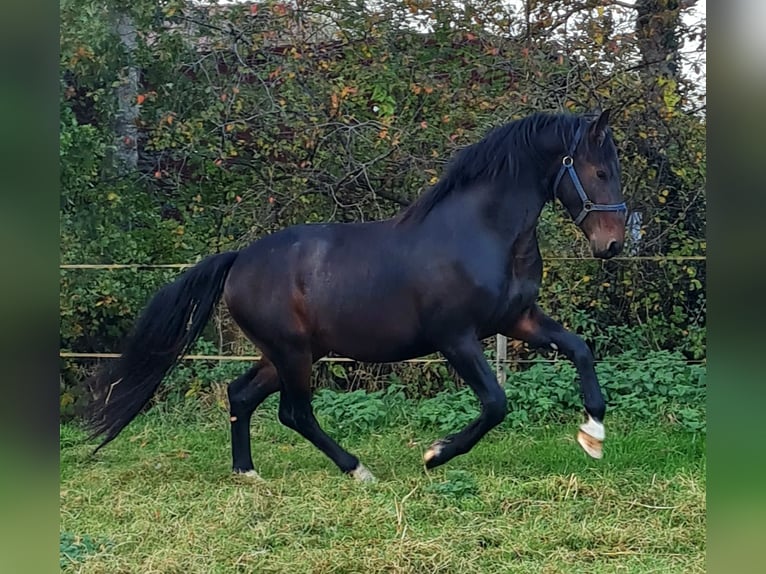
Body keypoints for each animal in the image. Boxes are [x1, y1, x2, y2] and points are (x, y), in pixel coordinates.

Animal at [85, 110, 627, 482]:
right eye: (599, 172)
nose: (613, 244)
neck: (483, 233)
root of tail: (239, 260)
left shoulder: (518, 320)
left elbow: (580, 349)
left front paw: (593, 435)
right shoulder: (456, 338)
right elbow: (496, 404)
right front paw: (435, 455)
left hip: (288, 352)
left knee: (241, 394)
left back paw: (248, 473)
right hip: (293, 353)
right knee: (294, 413)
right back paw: (357, 469)